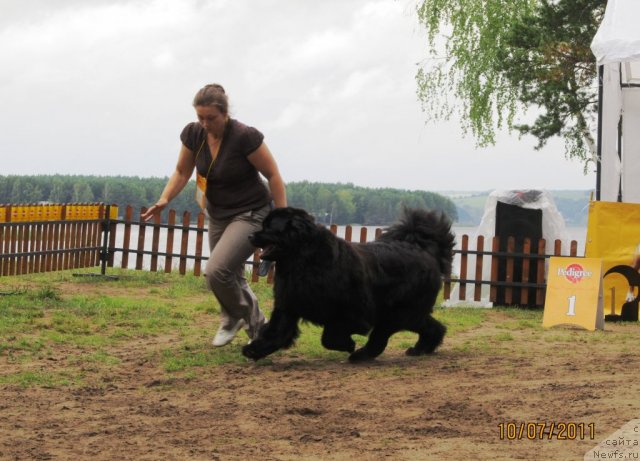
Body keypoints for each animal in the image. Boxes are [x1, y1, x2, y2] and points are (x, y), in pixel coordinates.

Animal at [240, 207, 456, 362]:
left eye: (269, 227)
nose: (250, 236)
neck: (303, 261)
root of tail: (423, 250)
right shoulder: (288, 305)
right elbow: (276, 332)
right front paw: (254, 350)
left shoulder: (353, 312)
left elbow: (329, 336)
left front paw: (347, 344)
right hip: (403, 312)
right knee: (432, 326)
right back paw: (421, 349)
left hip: (399, 312)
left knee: (383, 335)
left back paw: (361, 354)